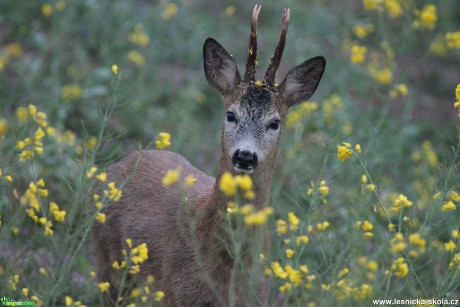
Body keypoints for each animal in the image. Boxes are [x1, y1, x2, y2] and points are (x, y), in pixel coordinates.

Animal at [91, 5, 326, 307]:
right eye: (231, 115)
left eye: (275, 123)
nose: (246, 156)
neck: (227, 280)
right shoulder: (177, 294)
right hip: (109, 264)